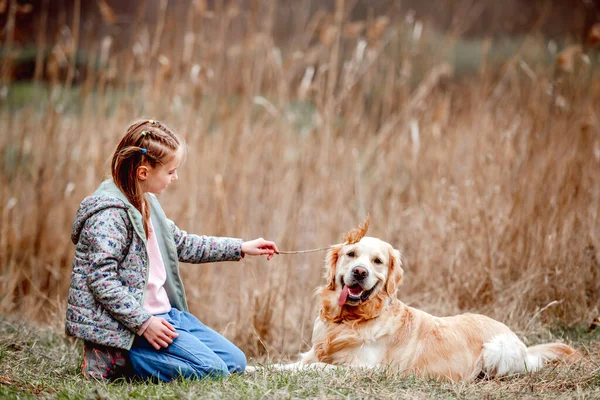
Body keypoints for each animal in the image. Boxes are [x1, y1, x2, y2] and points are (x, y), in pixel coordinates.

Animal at [262, 236, 576, 382]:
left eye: (377, 261)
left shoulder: (369, 368)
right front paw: (255, 368)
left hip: (495, 349)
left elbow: (318, 368)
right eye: (351, 254)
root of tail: (518, 340)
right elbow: (284, 366)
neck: (351, 320)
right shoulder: (311, 353)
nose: (360, 272)